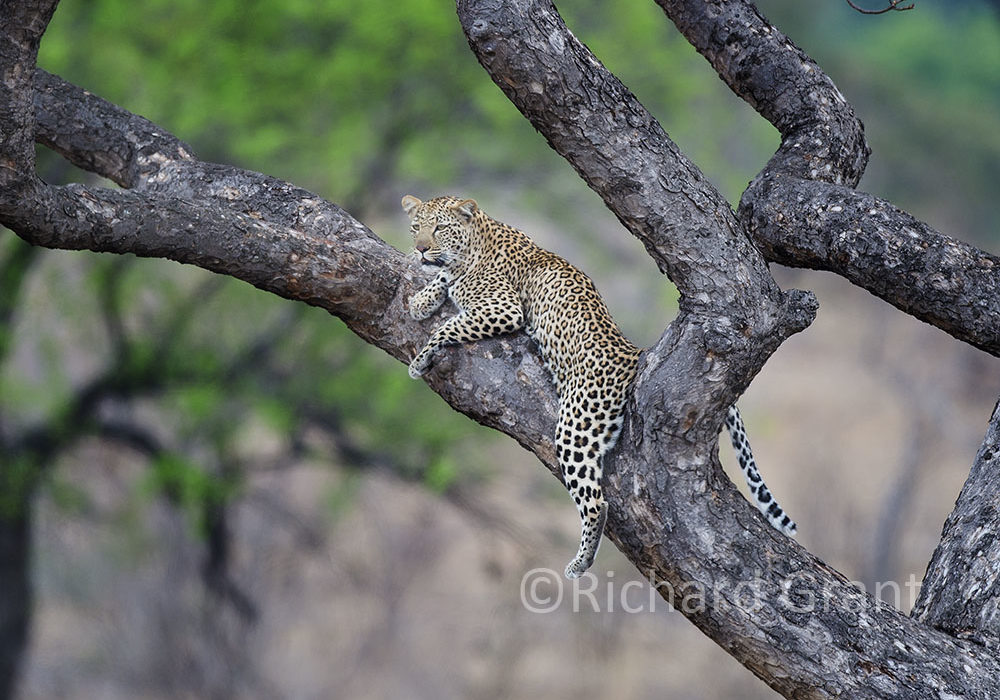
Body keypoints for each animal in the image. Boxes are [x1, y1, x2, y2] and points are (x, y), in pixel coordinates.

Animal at [401, 195, 796, 578]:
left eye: (440, 228)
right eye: (415, 226)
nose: (420, 249)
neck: (478, 240)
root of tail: (634, 354)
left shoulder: (504, 308)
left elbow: (449, 324)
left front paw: (420, 359)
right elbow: (441, 282)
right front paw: (423, 299)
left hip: (575, 426)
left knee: (596, 502)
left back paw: (580, 562)